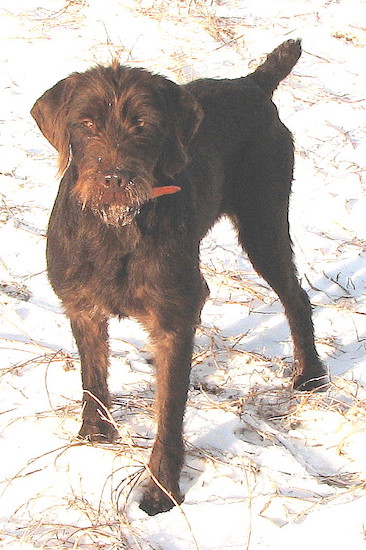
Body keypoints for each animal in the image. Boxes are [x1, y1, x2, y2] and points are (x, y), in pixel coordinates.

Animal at [32, 40, 326, 516]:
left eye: (144, 124)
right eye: (86, 123)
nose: (115, 179)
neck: (118, 229)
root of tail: (251, 83)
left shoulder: (174, 318)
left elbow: (169, 413)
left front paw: (161, 490)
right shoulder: (83, 308)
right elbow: (93, 377)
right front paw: (96, 433)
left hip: (263, 222)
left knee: (296, 296)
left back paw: (312, 373)